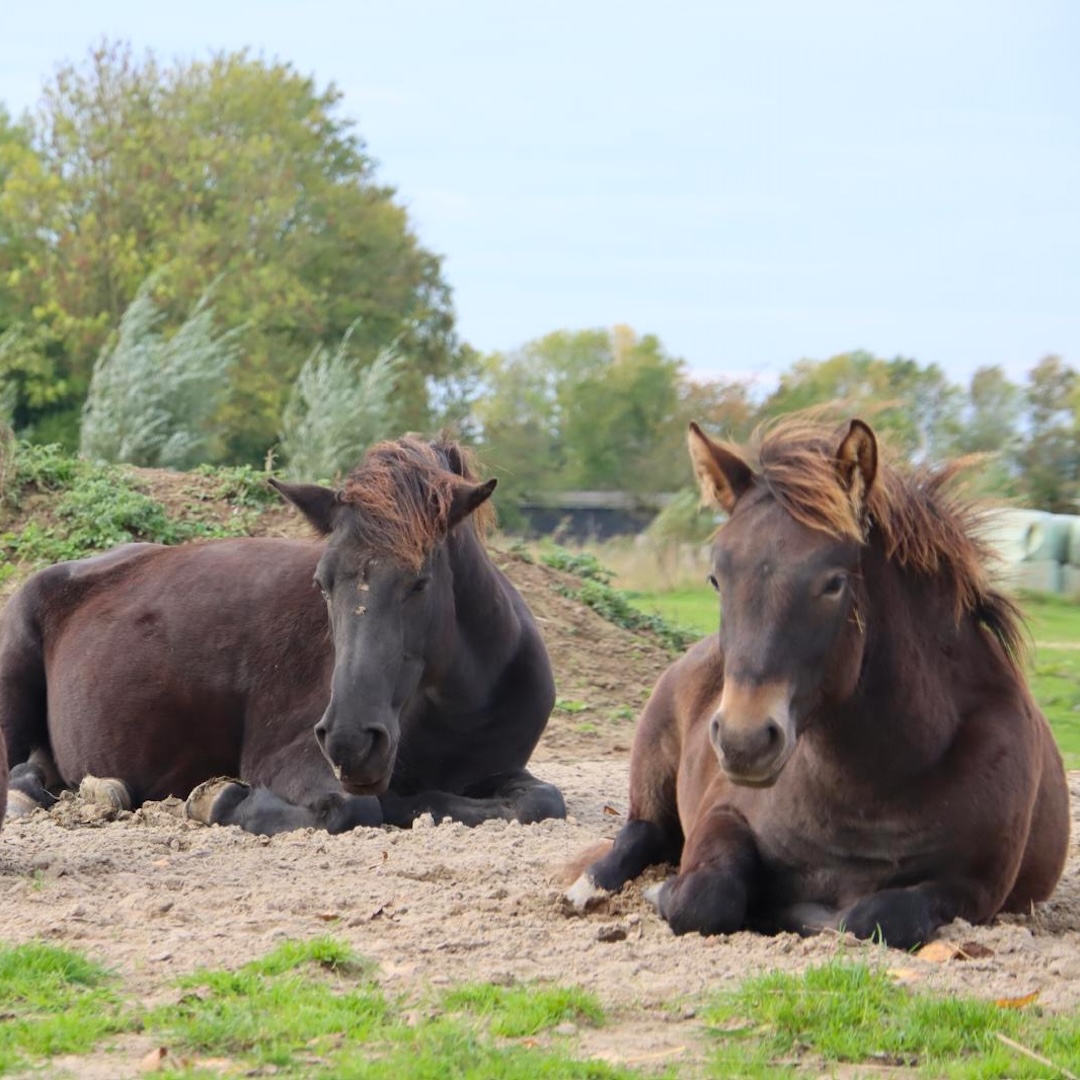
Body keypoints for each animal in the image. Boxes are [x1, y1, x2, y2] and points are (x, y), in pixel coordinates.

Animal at [0, 436, 565, 835]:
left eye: (419, 581)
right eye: (322, 582)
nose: (350, 740)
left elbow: (543, 800)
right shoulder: (291, 761)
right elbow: (353, 810)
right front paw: (217, 798)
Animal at [568, 417, 1070, 950]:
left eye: (833, 583)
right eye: (716, 578)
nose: (745, 741)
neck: (870, 785)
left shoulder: (975, 885)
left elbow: (875, 917)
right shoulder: (723, 816)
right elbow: (704, 897)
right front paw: (668, 893)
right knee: (640, 833)